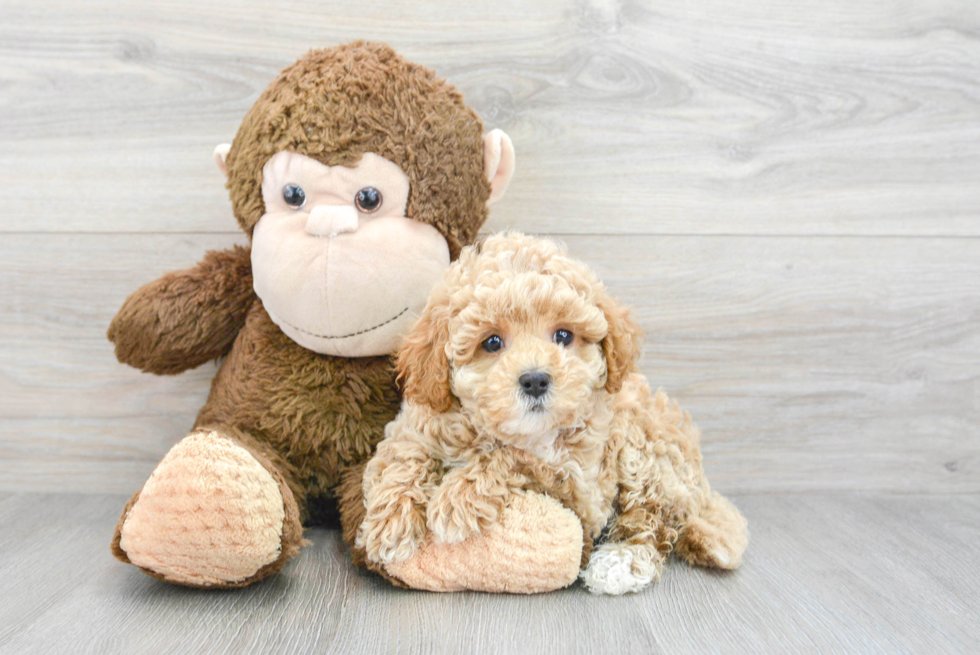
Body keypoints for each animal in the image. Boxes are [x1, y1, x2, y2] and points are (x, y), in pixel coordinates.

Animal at [356, 234, 748, 596]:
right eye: (492, 342)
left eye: (563, 335)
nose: (535, 380)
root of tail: (702, 487)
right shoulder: (415, 425)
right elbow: (404, 458)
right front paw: (390, 525)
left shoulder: (582, 488)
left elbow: (514, 458)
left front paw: (457, 498)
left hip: (648, 450)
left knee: (654, 519)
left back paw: (620, 562)